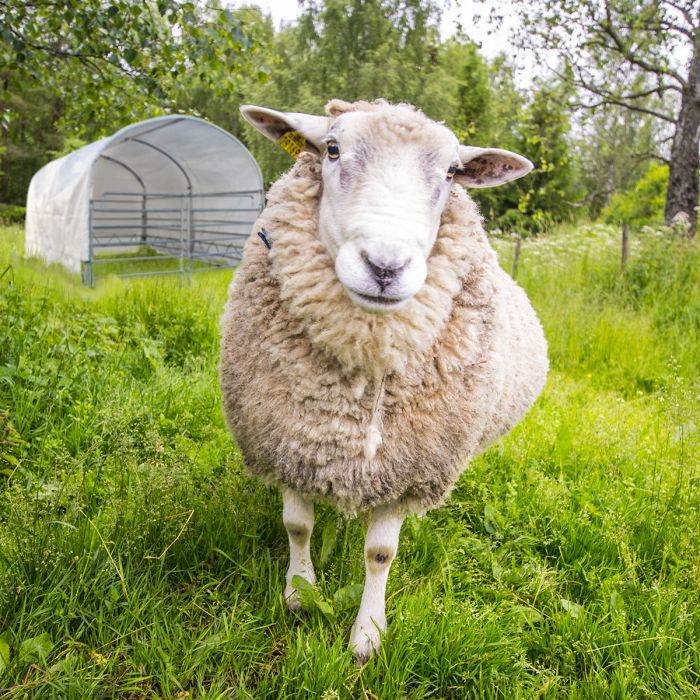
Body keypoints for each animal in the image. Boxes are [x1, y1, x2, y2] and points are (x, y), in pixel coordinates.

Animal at [221, 98, 548, 660]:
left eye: (452, 172)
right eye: (331, 149)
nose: (385, 266)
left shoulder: (408, 467)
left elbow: (379, 553)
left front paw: (367, 635)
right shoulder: (286, 441)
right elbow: (297, 526)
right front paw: (298, 593)